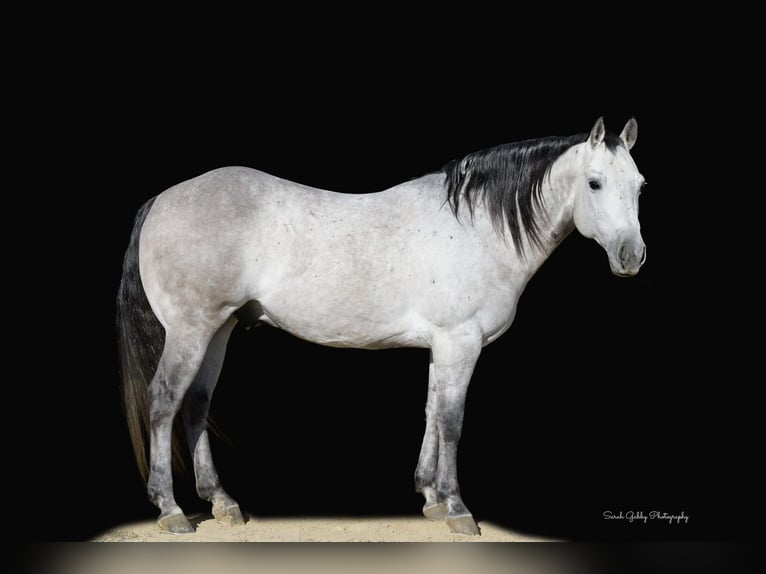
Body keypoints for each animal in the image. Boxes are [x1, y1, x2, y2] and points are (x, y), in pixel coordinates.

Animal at [118, 117, 648, 536]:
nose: (631, 256)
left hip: (219, 328)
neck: (476, 229)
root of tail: (161, 200)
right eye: (595, 183)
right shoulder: (460, 342)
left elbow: (432, 411)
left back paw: (222, 502)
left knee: (196, 403)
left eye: (640, 185)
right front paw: (458, 508)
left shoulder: (442, 346)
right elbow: (452, 420)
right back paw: (171, 511)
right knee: (165, 401)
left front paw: (431, 497)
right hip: (190, 330)